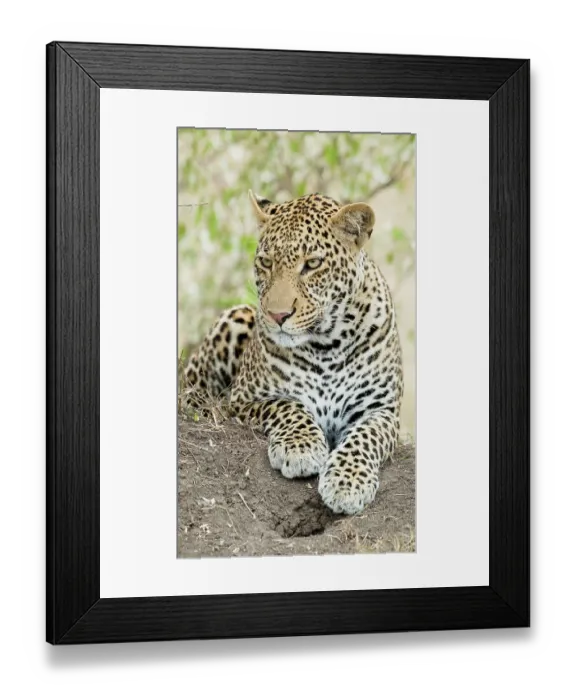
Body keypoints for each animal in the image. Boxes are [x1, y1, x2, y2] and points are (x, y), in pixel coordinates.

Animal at [183, 191, 404, 515]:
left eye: (312, 264)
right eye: (265, 262)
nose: (277, 315)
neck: (327, 344)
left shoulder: (382, 410)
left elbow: (365, 437)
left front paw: (347, 483)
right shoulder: (244, 399)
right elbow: (287, 406)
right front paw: (301, 448)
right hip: (236, 317)